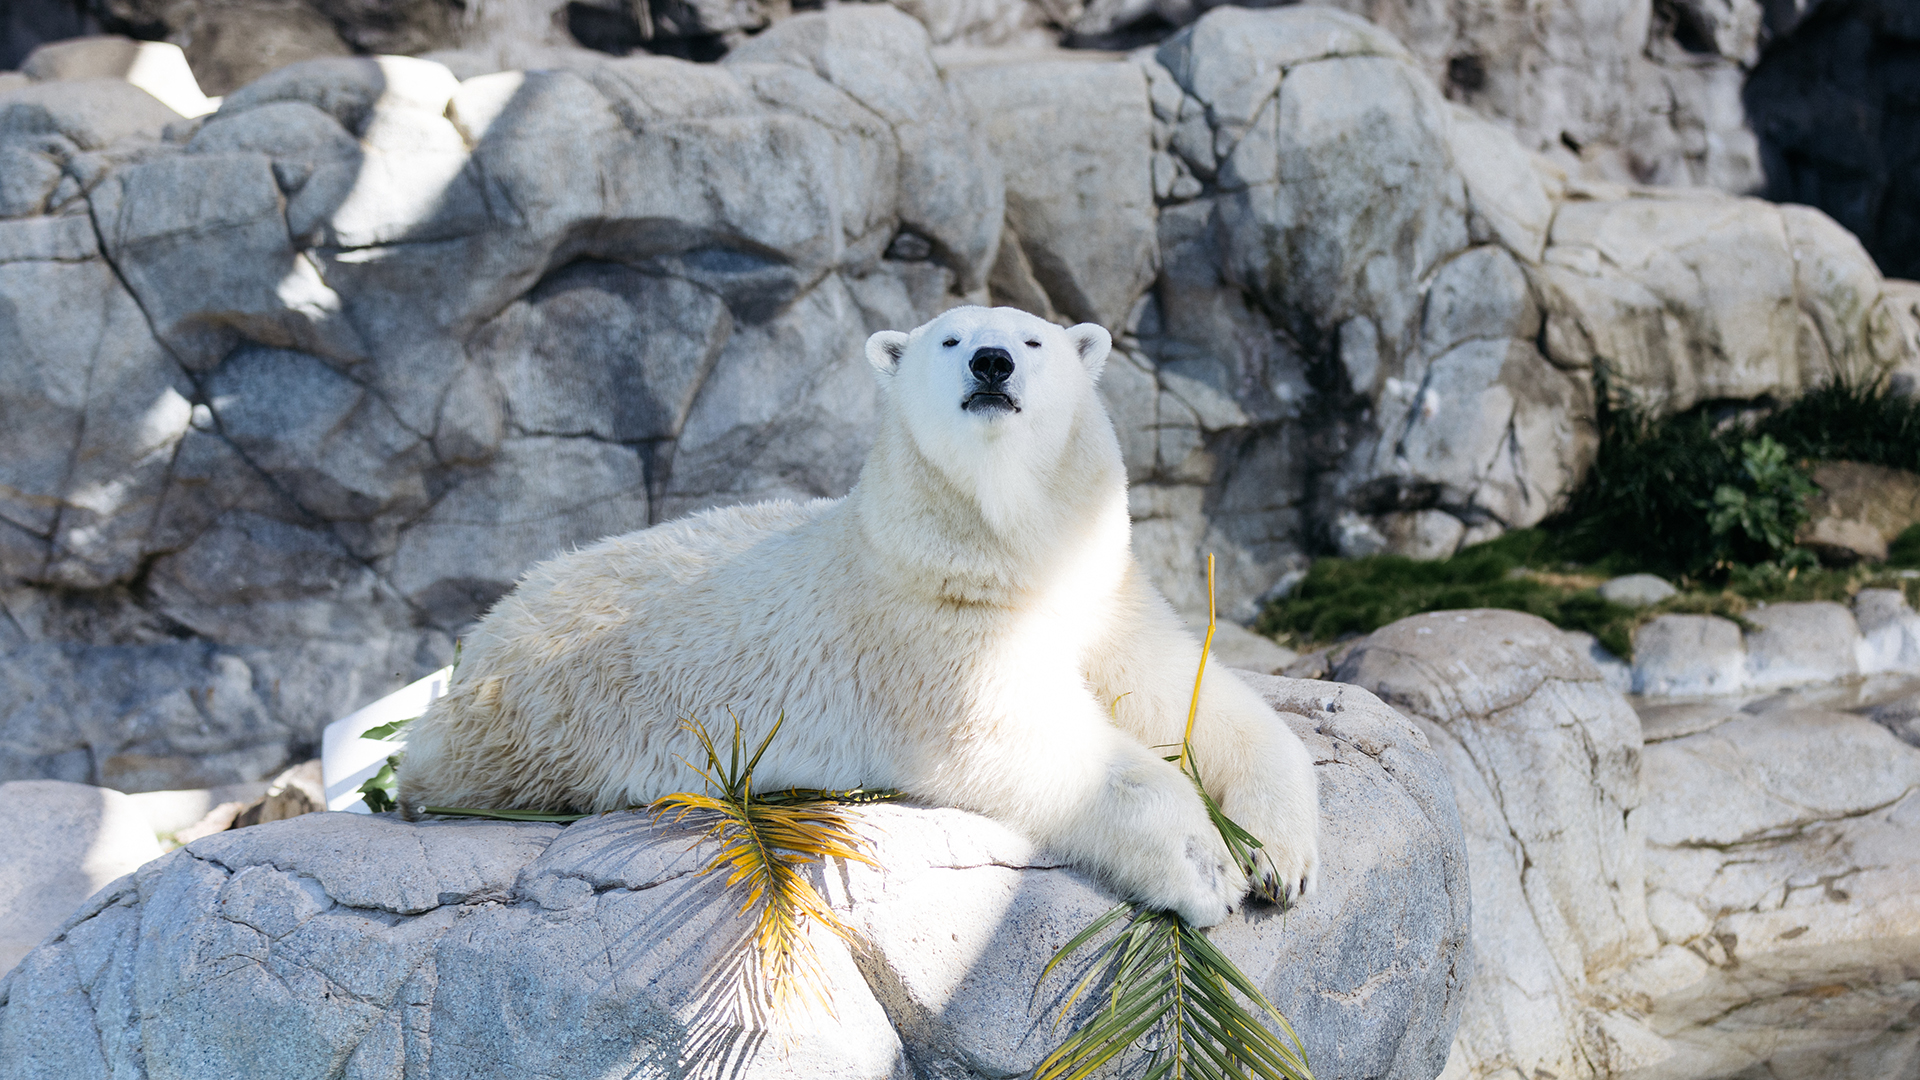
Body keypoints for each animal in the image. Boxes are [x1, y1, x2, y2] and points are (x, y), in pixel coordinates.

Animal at [397, 305, 1318, 927]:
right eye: (950, 339)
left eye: (1032, 341)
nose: (990, 363)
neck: (1007, 556)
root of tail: (479, 642)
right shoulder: (932, 632)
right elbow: (1032, 738)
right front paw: (1206, 869)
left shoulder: (1103, 595)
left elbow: (1195, 694)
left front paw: (1281, 855)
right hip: (540, 723)